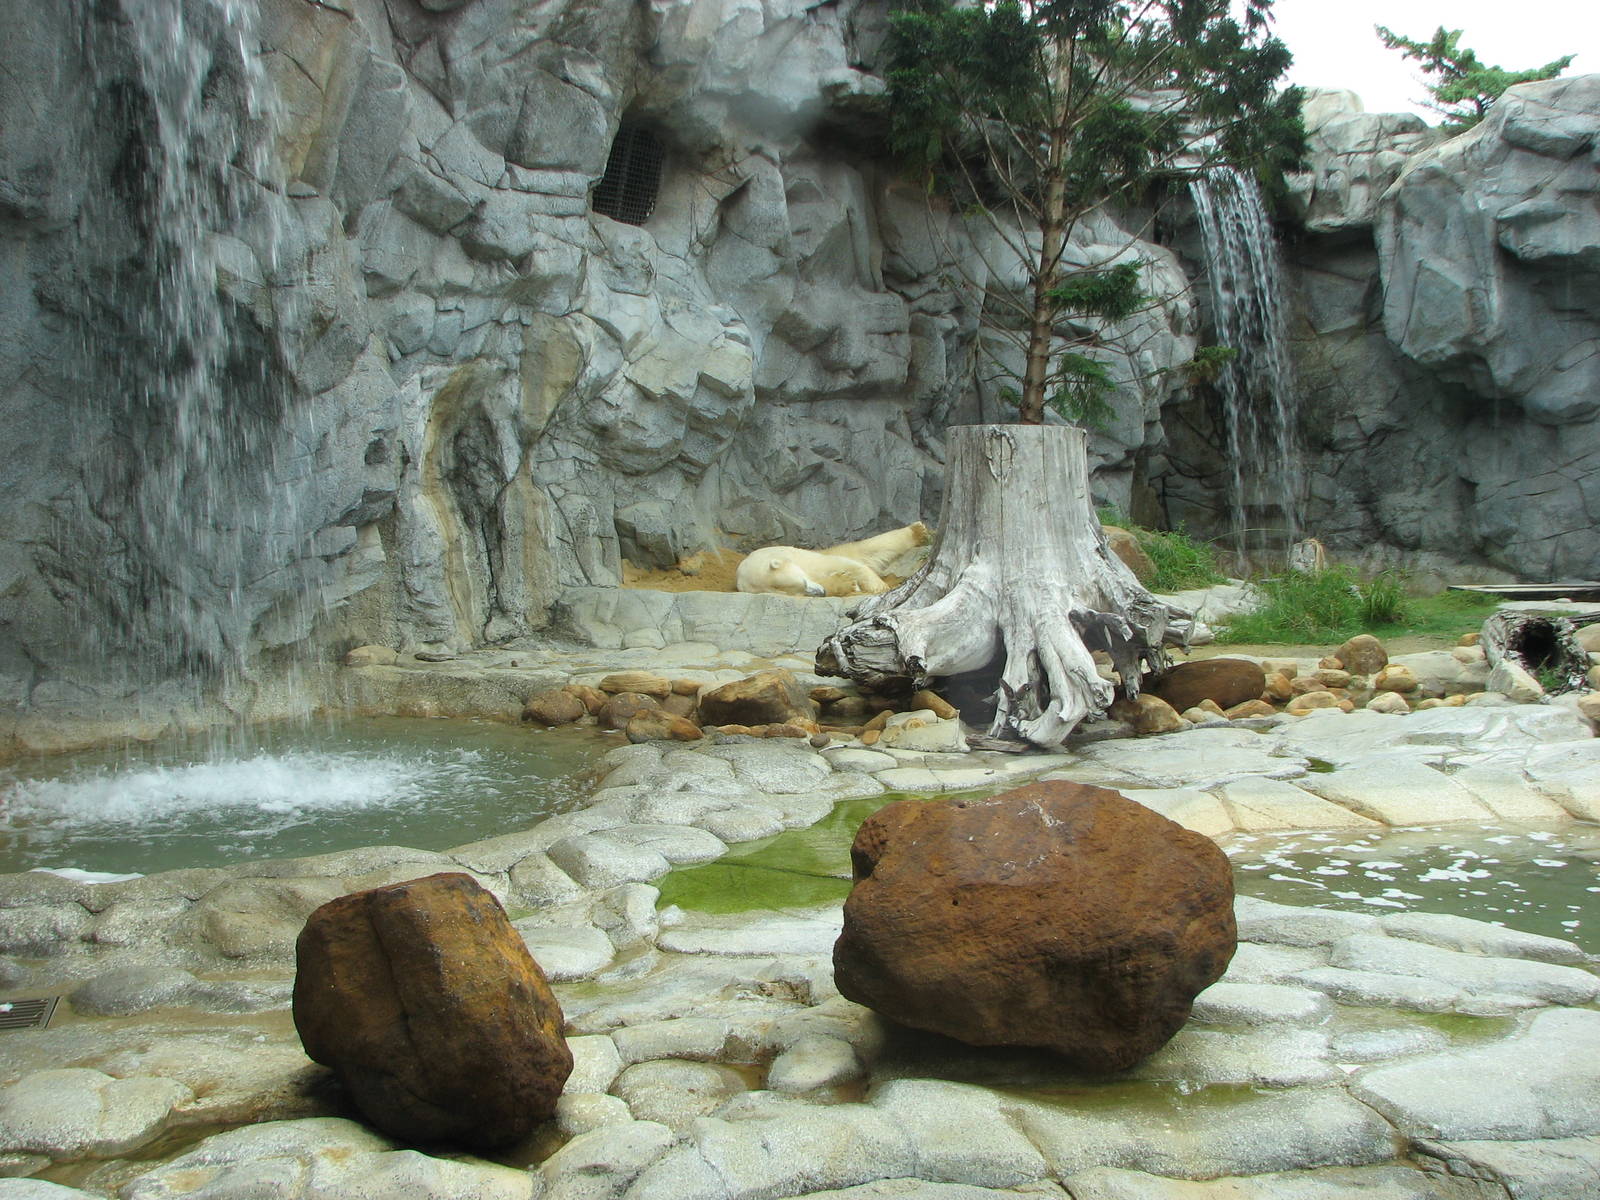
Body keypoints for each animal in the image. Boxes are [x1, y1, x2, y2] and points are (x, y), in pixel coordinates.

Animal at [735, 523, 931, 598]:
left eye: (800, 583)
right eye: (798, 594)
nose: (820, 593)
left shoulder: (802, 559)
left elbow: (844, 564)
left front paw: (881, 588)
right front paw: (846, 583)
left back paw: (918, 532)